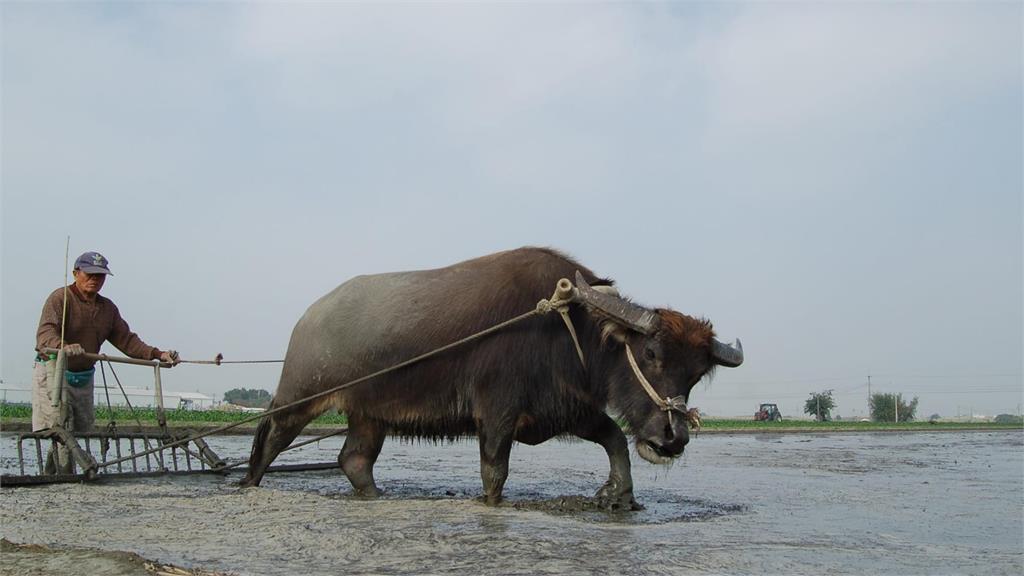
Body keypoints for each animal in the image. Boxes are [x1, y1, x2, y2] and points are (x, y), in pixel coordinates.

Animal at [247, 243, 745, 504]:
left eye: (696, 375)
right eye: (651, 353)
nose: (672, 439)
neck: (568, 329)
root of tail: (309, 318)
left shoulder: (567, 408)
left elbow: (614, 439)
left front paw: (618, 494)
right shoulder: (497, 412)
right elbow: (495, 473)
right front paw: (490, 503)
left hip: (368, 413)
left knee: (354, 458)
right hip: (299, 397)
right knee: (270, 437)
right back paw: (247, 484)